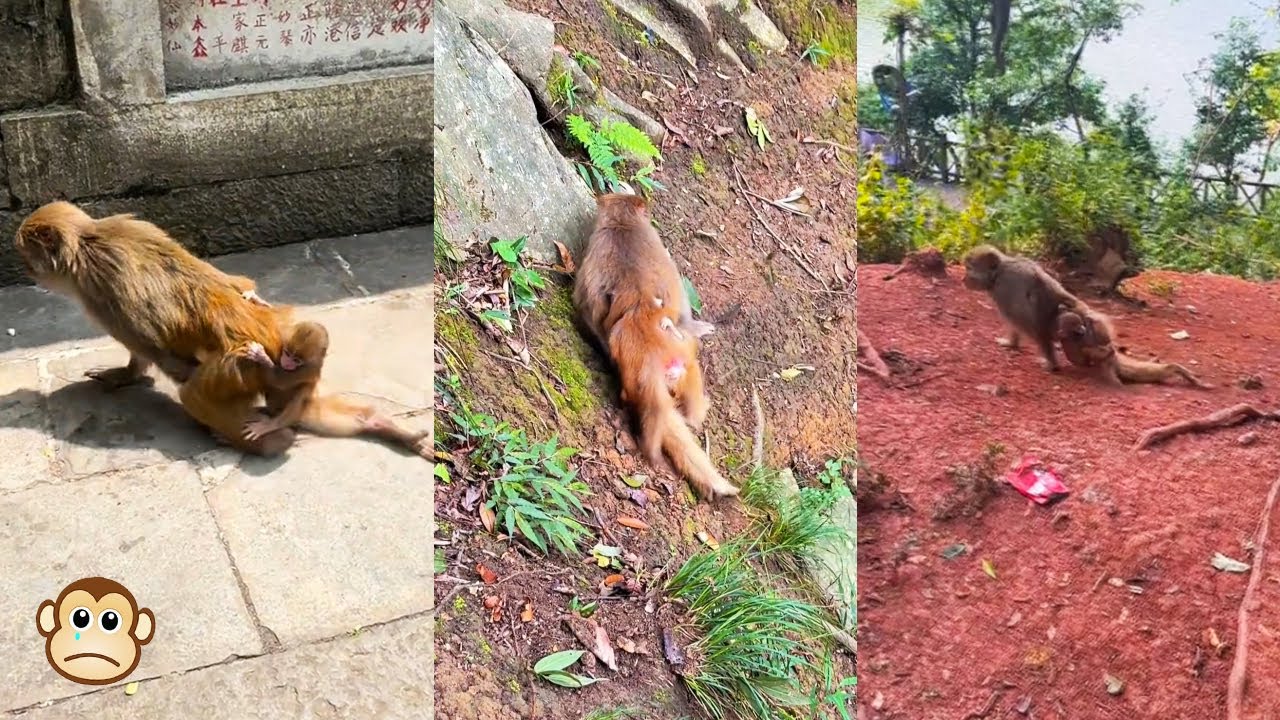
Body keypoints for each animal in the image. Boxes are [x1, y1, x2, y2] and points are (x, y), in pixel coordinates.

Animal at [1056, 308, 1211, 388]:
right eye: (1076, 328)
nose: (1082, 329)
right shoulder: (1076, 344)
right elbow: (1096, 352)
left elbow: (1104, 343)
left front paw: (1090, 319)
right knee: (1169, 368)